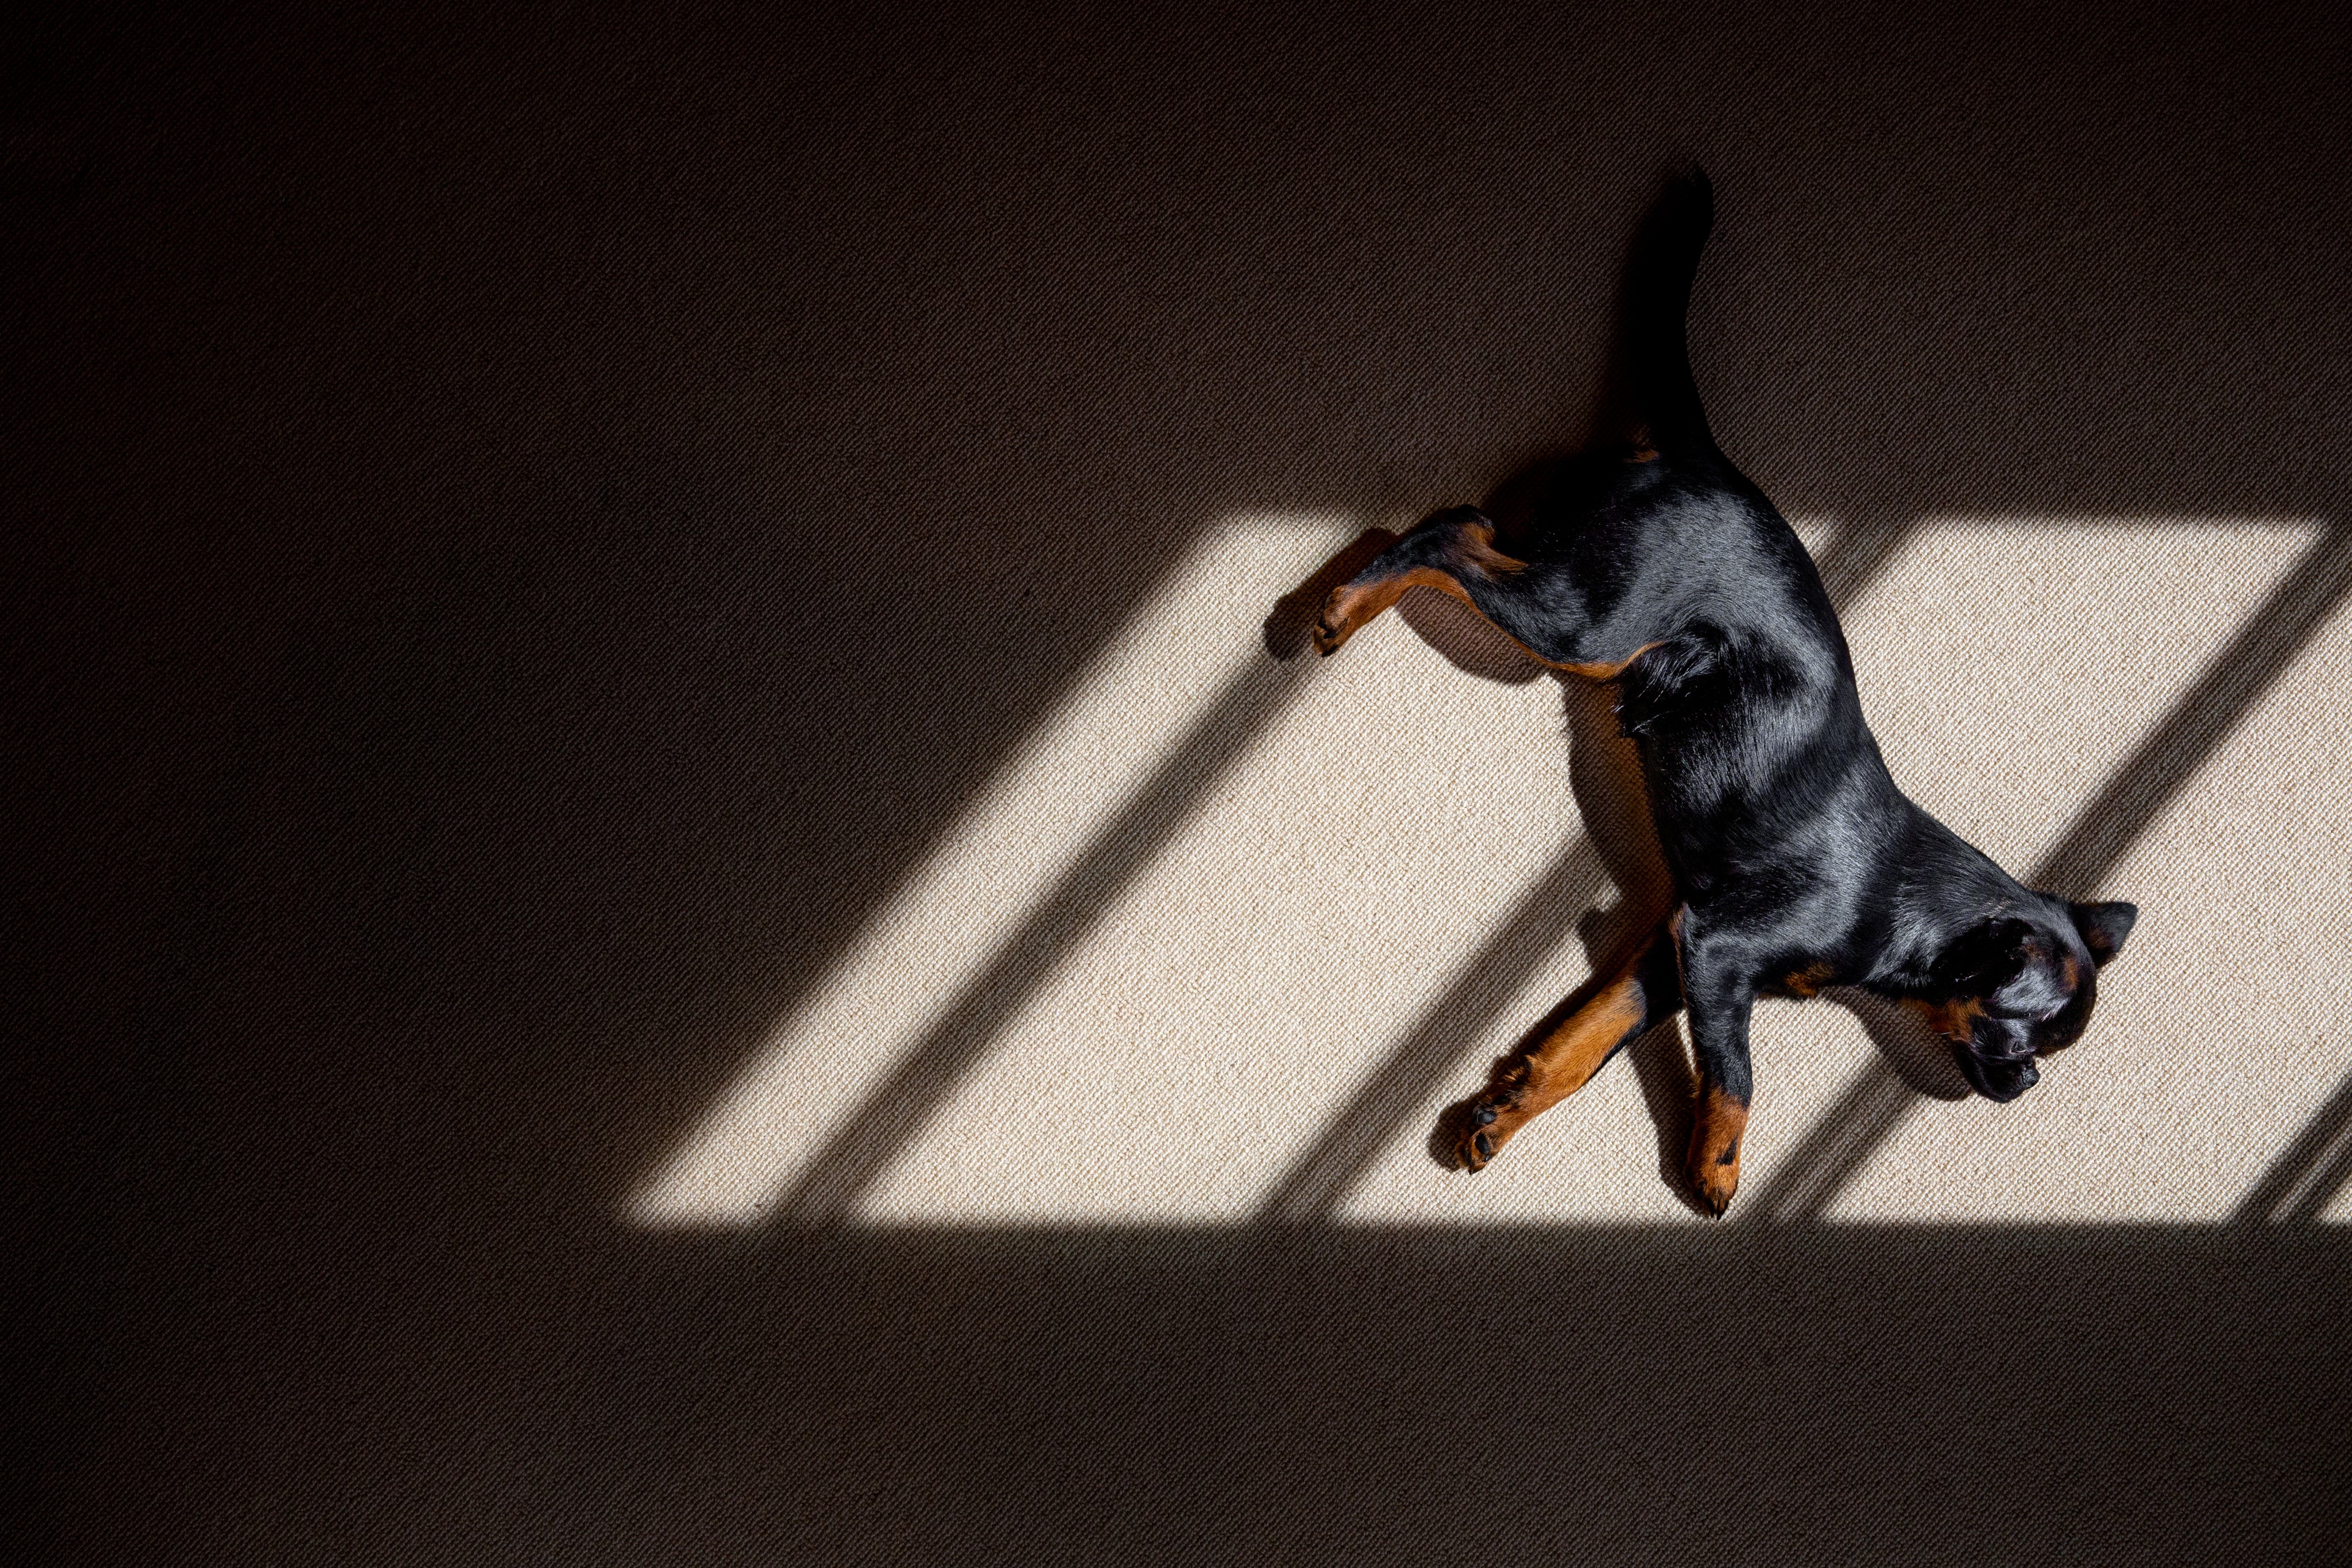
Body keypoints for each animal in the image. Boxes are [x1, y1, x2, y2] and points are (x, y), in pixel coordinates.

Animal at [1317, 175, 2145, 1222]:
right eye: (2022, 1033)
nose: (2029, 1085)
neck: (1903, 910)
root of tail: (1705, 460)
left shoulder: (1670, 946)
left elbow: (1582, 1048)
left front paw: (1500, 1112)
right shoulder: (1715, 950)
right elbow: (1739, 1073)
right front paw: (1717, 1163)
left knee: (1464, 529)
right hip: (1587, 627)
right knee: (1450, 532)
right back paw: (1340, 606)